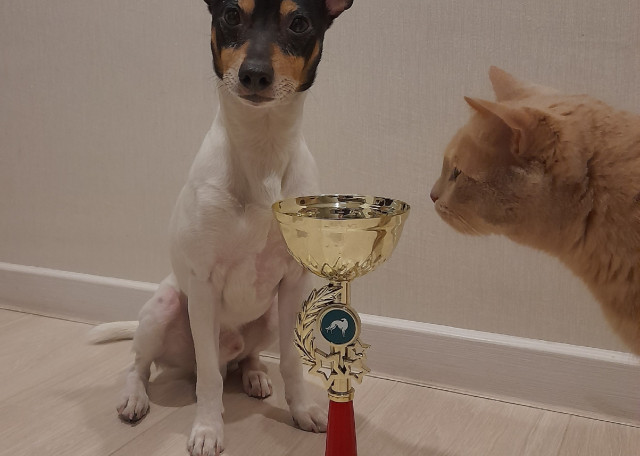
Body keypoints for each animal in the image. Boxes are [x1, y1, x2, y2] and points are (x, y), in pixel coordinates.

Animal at [88, 1, 353, 455]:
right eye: (231, 15)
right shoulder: (204, 283)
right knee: (144, 364)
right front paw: (208, 429)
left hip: (270, 318)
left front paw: (301, 410)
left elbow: (291, 362)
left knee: (245, 357)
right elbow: (210, 379)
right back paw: (135, 397)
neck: (261, 150)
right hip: (166, 308)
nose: (255, 75)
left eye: (299, 22)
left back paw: (254, 374)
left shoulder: (293, 281)